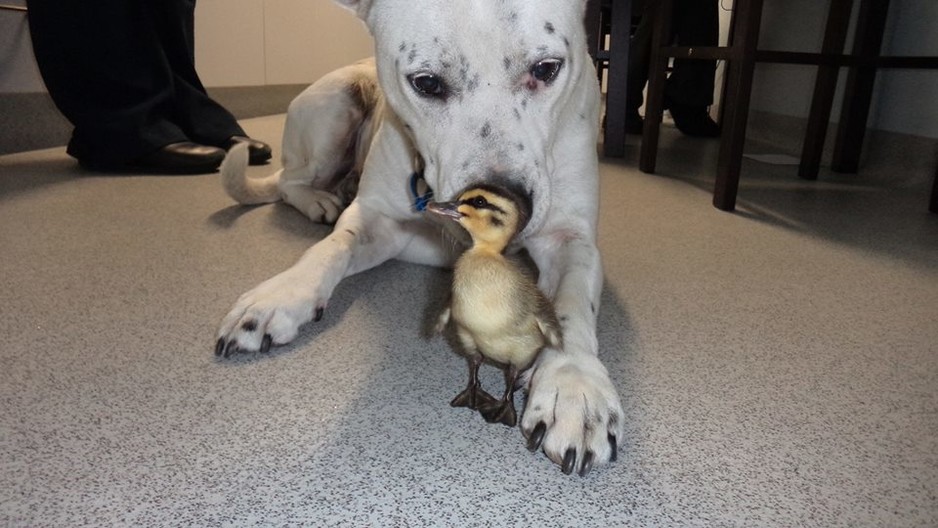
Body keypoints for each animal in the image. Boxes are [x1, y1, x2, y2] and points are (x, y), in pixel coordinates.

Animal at [213, 0, 620, 476]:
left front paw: (574, 384)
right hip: (334, 108)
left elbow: (572, 304)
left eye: (546, 68)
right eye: (426, 82)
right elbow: (330, 248)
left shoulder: (570, 238)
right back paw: (319, 201)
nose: (510, 202)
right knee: (289, 182)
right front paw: (280, 295)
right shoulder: (377, 222)